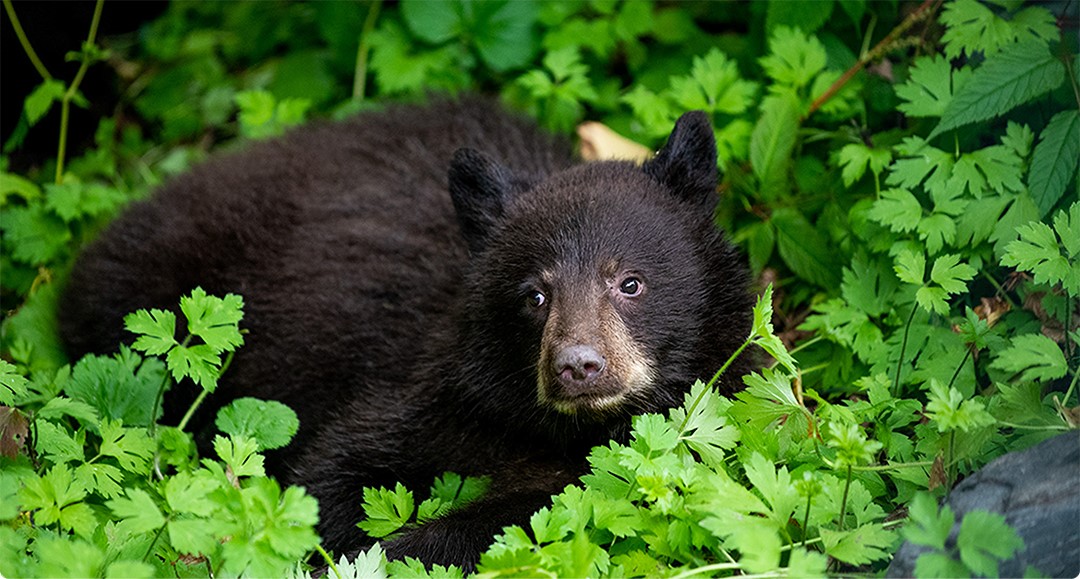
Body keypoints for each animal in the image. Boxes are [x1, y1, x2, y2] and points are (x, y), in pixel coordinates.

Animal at [59, 97, 754, 569]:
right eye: (534, 294)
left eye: (629, 282)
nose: (577, 366)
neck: (558, 427)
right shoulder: (443, 391)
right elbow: (338, 470)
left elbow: (544, 509)